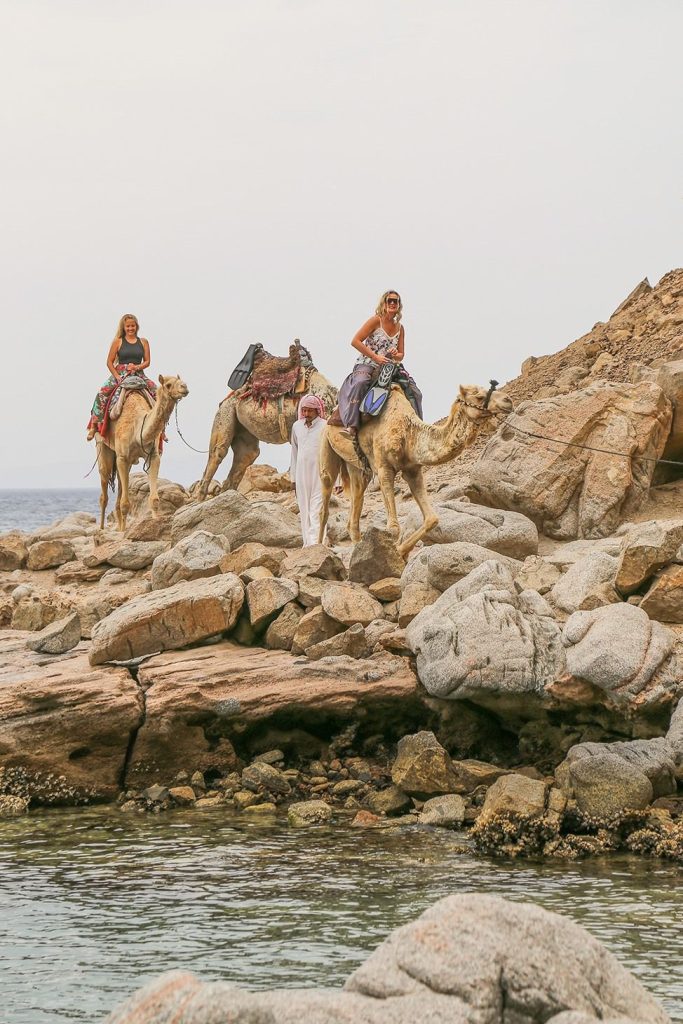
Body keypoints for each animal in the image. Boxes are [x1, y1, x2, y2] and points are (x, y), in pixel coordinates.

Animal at [96, 378, 189, 536]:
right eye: (168, 384)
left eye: (181, 380)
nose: (185, 387)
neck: (137, 426)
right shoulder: (122, 457)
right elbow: (125, 503)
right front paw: (123, 533)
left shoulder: (153, 456)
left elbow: (154, 499)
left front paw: (155, 525)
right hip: (102, 445)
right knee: (104, 483)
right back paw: (102, 529)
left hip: (124, 462)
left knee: (120, 487)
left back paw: (119, 526)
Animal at [317, 385, 509, 561]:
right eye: (479, 396)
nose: (508, 400)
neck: (409, 433)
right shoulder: (384, 468)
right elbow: (394, 528)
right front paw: (393, 555)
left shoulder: (413, 470)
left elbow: (432, 519)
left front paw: (401, 553)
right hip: (326, 446)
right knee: (325, 502)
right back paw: (319, 549)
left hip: (357, 467)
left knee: (356, 502)